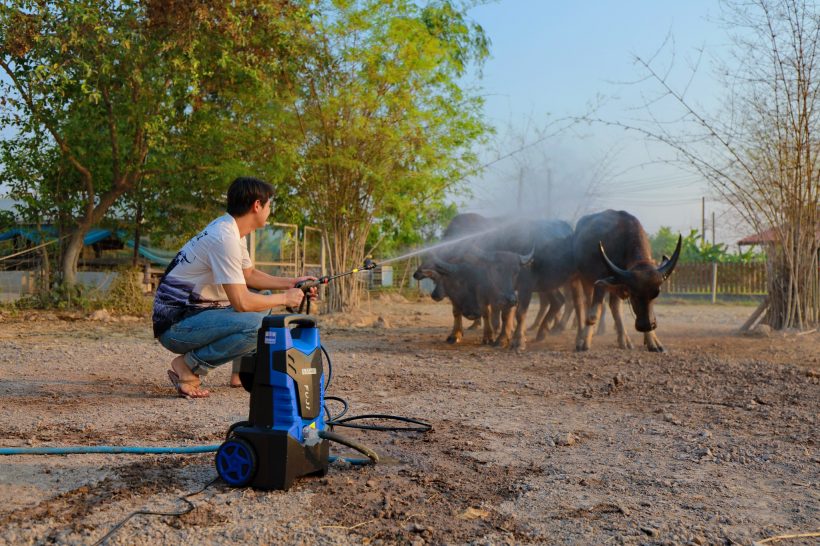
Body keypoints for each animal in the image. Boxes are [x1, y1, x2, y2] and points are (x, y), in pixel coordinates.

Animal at [572, 206, 680, 350]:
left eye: (656, 294)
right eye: (633, 295)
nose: (647, 325)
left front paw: (653, 341)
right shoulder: (601, 282)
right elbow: (594, 313)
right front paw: (584, 342)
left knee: (615, 307)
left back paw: (624, 340)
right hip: (584, 278)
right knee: (587, 304)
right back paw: (581, 337)